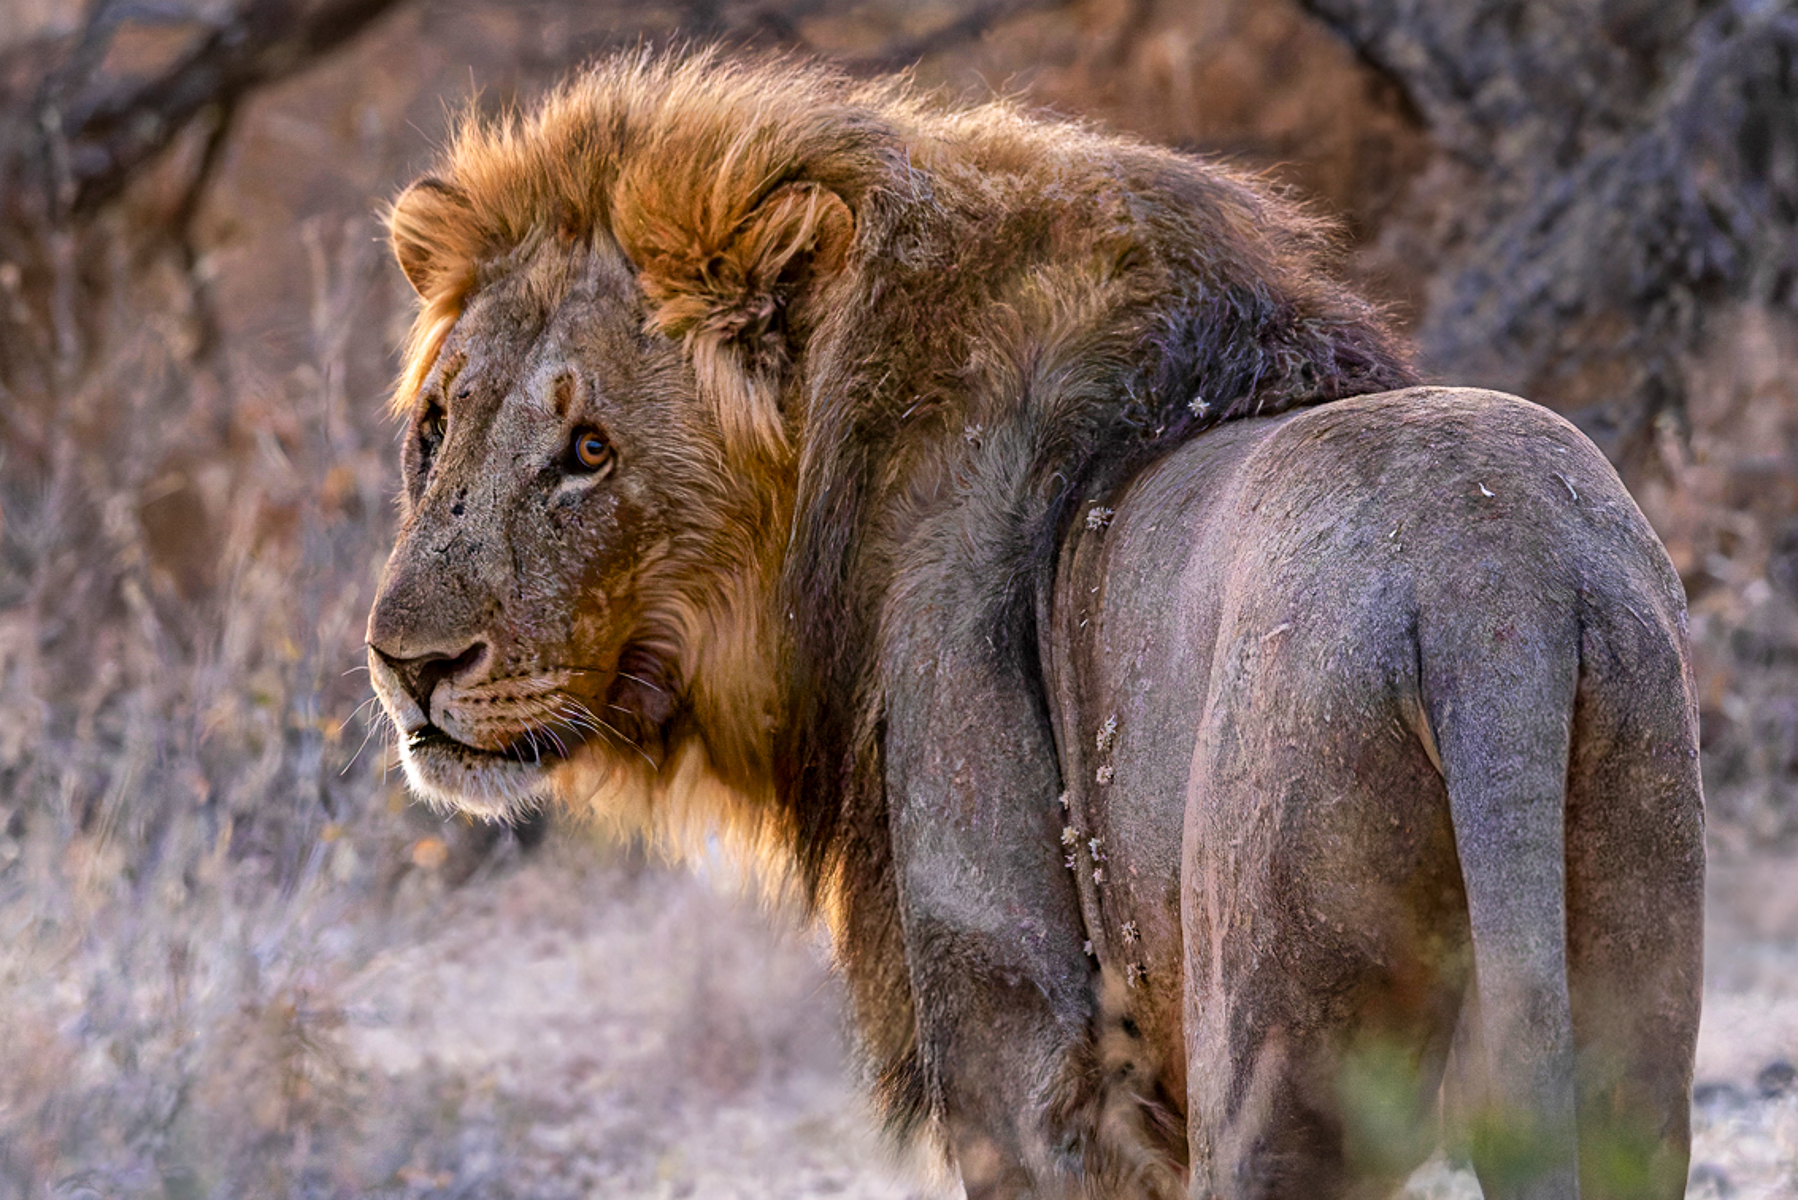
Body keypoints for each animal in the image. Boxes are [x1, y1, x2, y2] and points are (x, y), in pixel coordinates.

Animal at [366, 51, 1703, 1200]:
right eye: (435, 428)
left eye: (589, 451)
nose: (407, 666)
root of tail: (1496, 589)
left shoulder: (1023, 1048)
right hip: (1629, 995)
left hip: (1277, 1034)